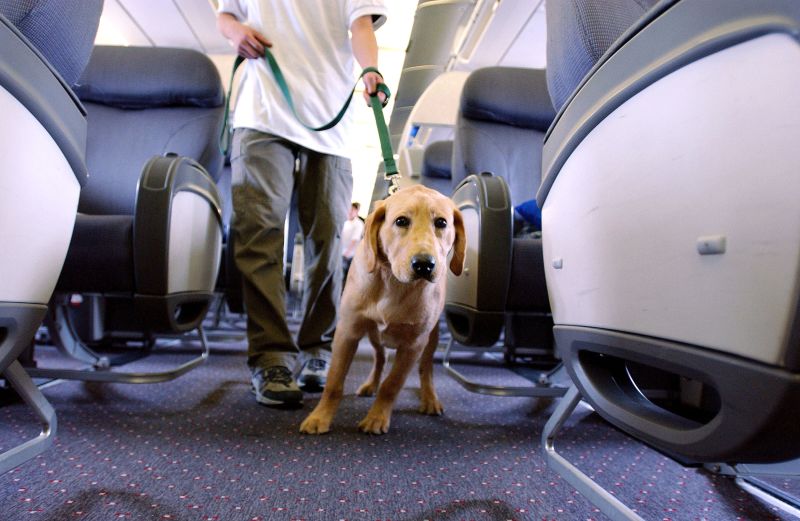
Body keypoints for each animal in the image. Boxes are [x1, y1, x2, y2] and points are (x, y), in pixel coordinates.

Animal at [300, 185, 466, 432]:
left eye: (441, 223)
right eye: (401, 221)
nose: (424, 265)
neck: (393, 282)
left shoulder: (413, 345)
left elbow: (392, 385)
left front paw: (377, 417)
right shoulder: (347, 332)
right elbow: (334, 381)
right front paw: (320, 417)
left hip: (431, 338)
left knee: (426, 369)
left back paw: (429, 398)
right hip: (374, 335)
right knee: (380, 358)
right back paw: (370, 384)